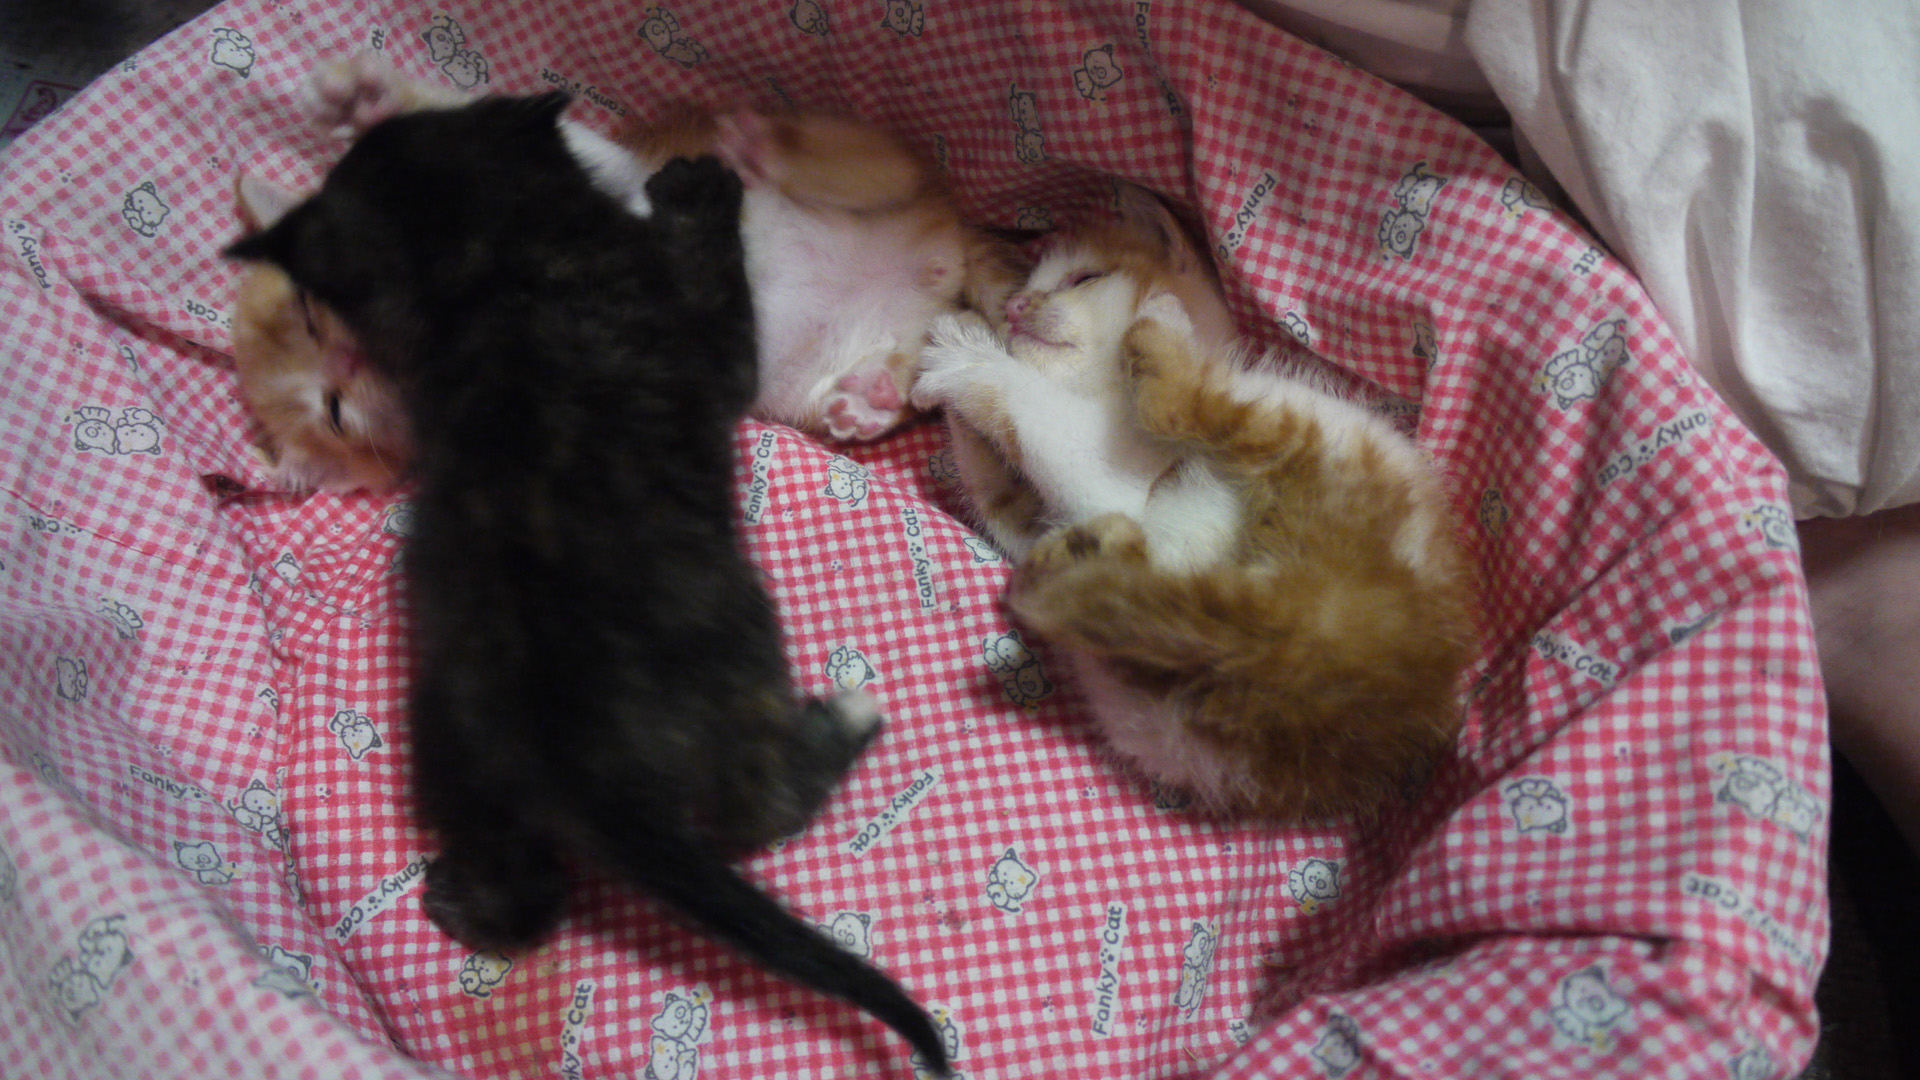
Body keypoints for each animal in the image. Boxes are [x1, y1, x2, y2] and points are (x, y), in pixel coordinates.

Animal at [223, 92, 948, 1073]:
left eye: (311, 312)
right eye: (332, 413)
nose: (341, 369)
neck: (502, 269)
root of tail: (579, 769)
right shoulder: (711, 353)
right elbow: (722, 320)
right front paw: (696, 200)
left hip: (460, 766)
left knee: (527, 897)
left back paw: (461, 904)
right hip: (740, 636)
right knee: (759, 807)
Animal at [910, 188, 1473, 819]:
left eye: (1085, 277)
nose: (1014, 308)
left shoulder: (1115, 476)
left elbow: (1035, 414)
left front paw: (965, 358)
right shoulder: (1034, 522)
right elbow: (997, 492)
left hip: (1309, 428)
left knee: (1180, 404)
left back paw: (1160, 327)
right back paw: (1087, 554)